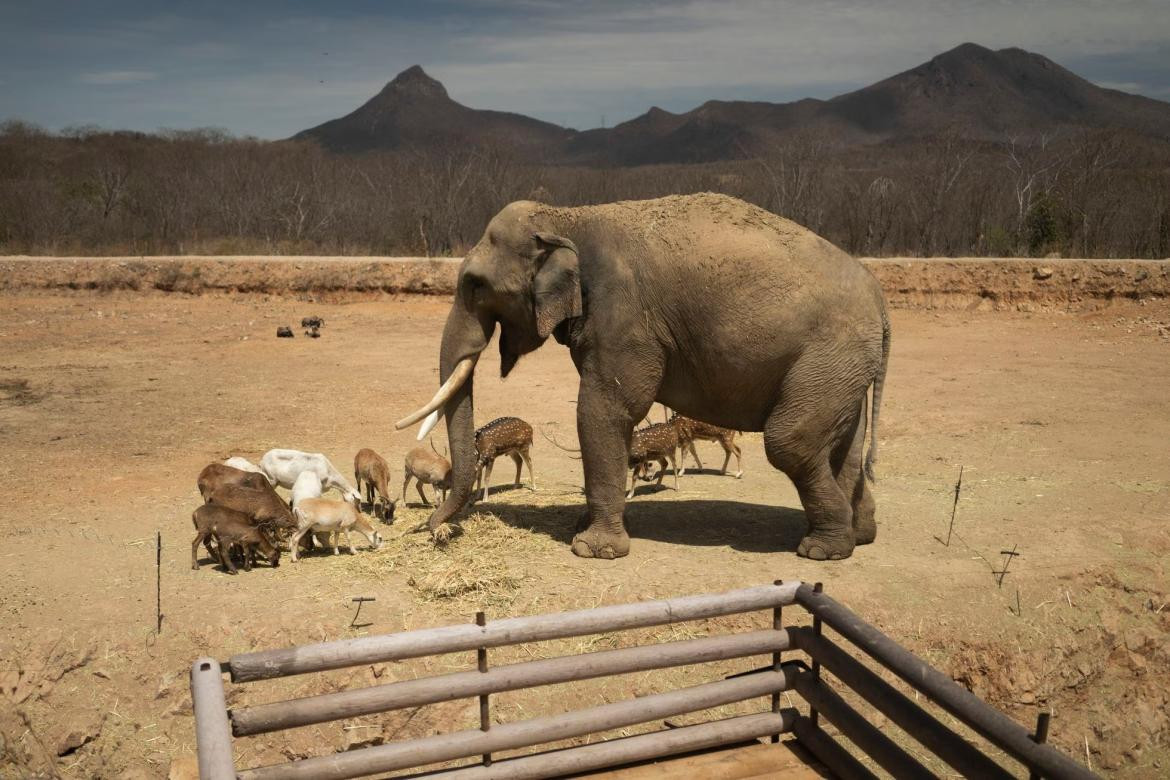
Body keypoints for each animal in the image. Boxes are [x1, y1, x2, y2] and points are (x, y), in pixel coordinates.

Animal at [397, 194, 889, 561]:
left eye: (475, 285)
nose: (435, 530)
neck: (570, 216)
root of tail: (878, 296)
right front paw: (583, 526)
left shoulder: (625, 319)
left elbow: (605, 411)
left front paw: (592, 549)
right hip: (841, 368)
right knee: (842, 446)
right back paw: (860, 535)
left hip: (828, 355)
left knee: (791, 442)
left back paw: (823, 549)